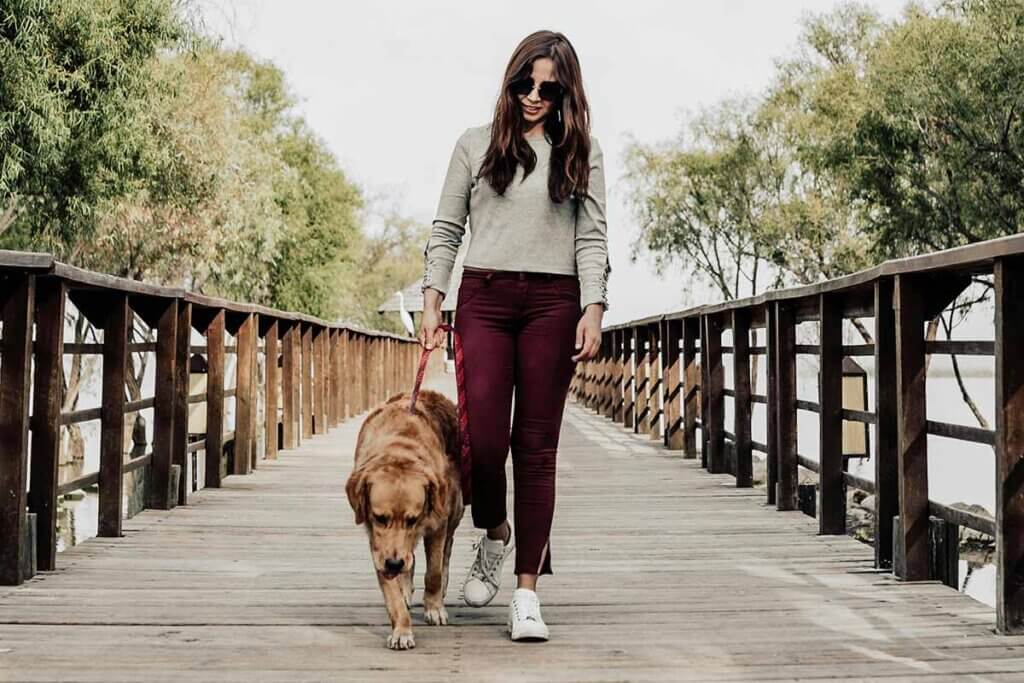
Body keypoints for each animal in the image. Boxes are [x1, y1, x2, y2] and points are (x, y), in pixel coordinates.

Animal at [348, 387, 468, 651]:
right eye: (380, 518)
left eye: (413, 520)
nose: (394, 564)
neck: (399, 450)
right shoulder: (379, 545)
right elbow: (392, 594)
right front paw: (401, 630)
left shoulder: (437, 524)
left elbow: (434, 572)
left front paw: (434, 607)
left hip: (454, 507)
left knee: (446, 550)